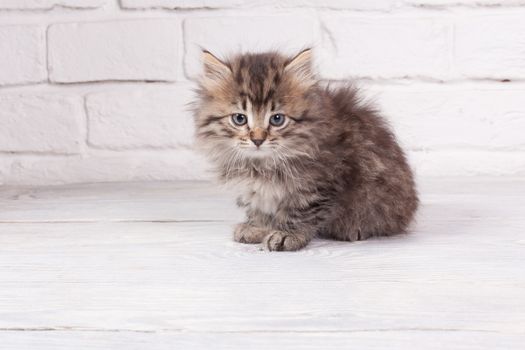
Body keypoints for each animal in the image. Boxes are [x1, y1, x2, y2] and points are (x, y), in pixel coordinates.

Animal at [192, 48, 418, 252]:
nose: (257, 139)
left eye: (277, 119)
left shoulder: (321, 182)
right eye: (239, 118)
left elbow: (300, 212)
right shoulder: (256, 190)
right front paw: (258, 227)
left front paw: (286, 234)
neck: (262, 164)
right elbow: (260, 206)